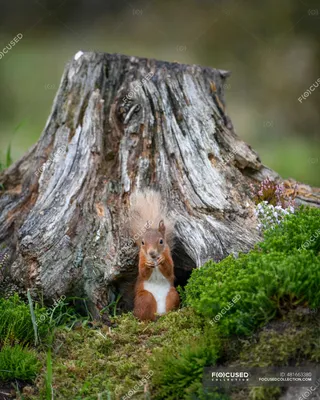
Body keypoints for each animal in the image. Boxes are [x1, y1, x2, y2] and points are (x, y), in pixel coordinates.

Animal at [129, 191, 180, 322]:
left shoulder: (169, 255)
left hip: (172, 295)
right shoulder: (141, 257)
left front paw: (162, 260)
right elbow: (142, 273)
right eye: (142, 242)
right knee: (144, 316)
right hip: (145, 298)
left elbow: (169, 271)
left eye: (161, 241)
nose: (152, 253)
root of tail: (158, 314)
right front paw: (148, 265)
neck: (154, 260)